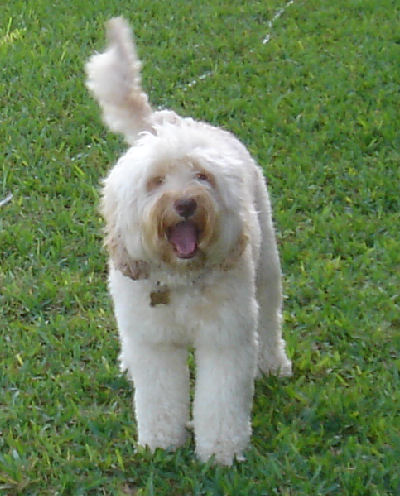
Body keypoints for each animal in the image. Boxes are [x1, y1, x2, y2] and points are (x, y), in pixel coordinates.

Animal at [86, 18, 290, 464]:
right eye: (156, 181)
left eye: (202, 176)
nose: (184, 204)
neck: (178, 280)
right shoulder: (154, 341)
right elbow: (159, 396)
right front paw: (161, 443)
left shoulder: (225, 336)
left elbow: (221, 398)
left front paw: (221, 452)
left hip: (266, 267)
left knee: (269, 317)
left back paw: (272, 363)